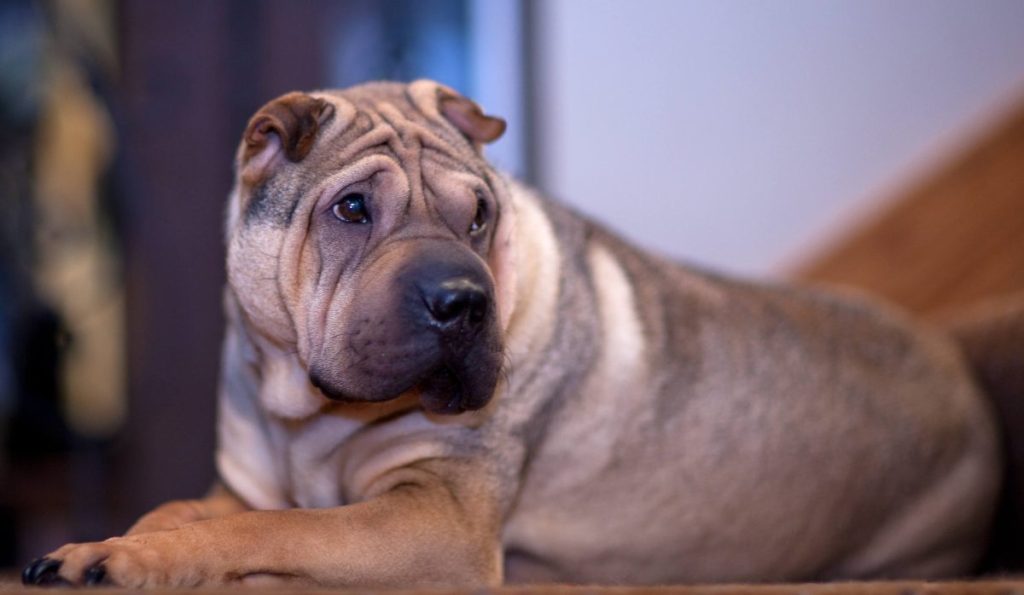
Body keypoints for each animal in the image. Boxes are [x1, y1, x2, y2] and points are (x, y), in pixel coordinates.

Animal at [24, 81, 999, 585]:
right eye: (352, 208)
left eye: (480, 215)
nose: (463, 301)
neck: (306, 412)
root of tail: (961, 374)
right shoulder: (243, 487)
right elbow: (183, 509)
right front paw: (108, 544)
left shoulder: (437, 521)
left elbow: (271, 538)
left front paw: (138, 561)